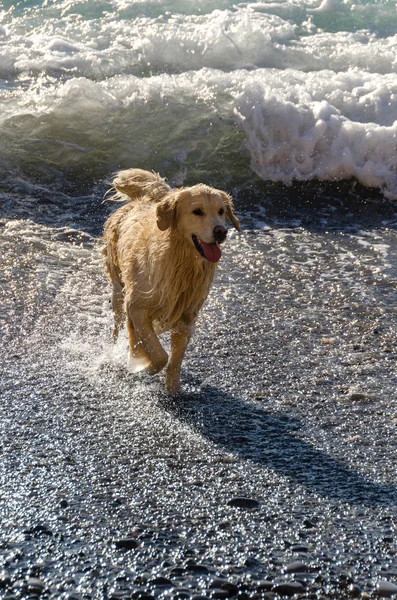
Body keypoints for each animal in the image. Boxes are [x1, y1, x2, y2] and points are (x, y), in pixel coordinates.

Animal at [102, 169, 238, 394]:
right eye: (197, 211)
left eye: (221, 211)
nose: (221, 231)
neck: (182, 265)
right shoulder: (137, 306)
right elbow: (159, 354)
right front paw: (144, 365)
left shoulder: (186, 318)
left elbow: (174, 360)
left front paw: (173, 390)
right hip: (118, 288)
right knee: (118, 324)